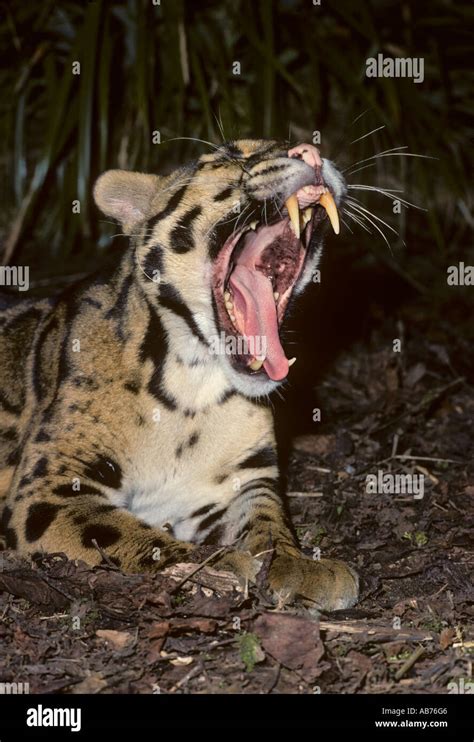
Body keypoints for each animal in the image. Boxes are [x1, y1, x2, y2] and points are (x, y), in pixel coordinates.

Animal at [0, 140, 358, 612]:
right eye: (231, 156)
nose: (311, 152)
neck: (191, 388)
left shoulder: (241, 481)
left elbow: (268, 518)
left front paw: (295, 562)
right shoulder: (50, 485)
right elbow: (123, 530)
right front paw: (215, 567)